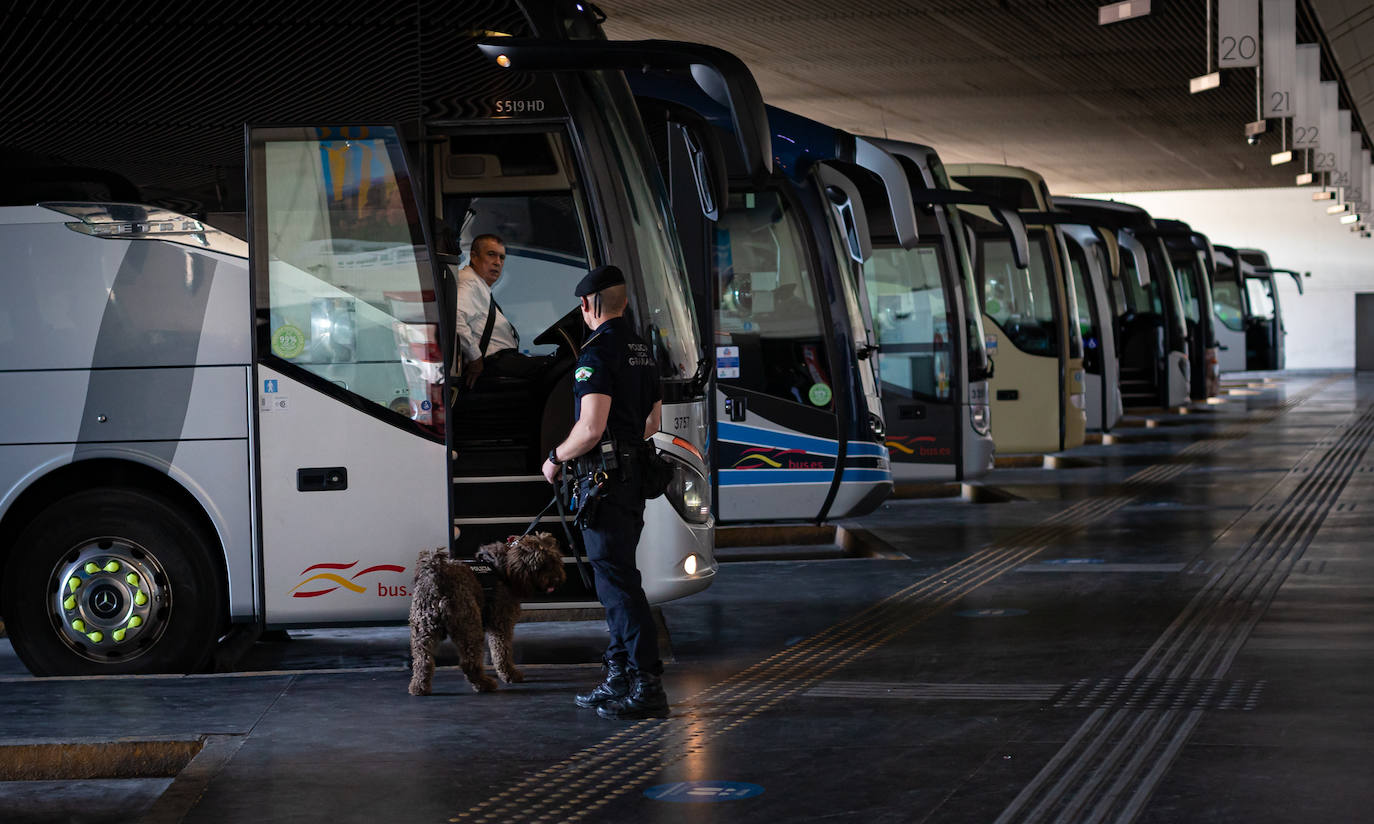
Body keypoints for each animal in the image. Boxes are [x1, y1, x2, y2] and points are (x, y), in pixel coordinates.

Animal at [406, 535, 563, 694]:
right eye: (543, 564)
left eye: (555, 561)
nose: (557, 580)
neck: (506, 568)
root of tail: (436, 574)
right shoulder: (501, 623)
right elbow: (502, 652)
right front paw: (509, 674)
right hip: (469, 625)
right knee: (468, 662)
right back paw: (484, 684)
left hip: (422, 630)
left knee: (422, 661)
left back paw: (419, 687)